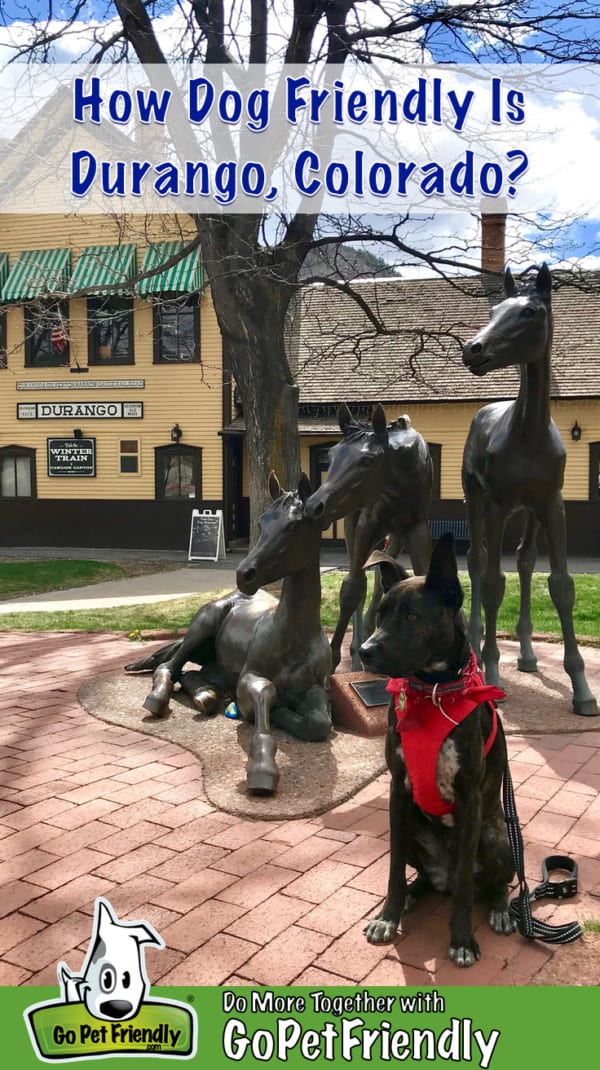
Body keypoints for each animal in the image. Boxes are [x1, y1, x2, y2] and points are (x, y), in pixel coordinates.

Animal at [357, 535, 513, 971]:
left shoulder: (469, 797)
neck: (433, 692)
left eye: (412, 617)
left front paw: (461, 940)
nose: (364, 651)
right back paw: (414, 894)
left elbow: (463, 889)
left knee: (491, 884)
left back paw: (500, 909)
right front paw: (388, 915)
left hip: (497, 839)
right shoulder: (398, 791)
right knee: (424, 876)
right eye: (379, 614)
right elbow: (393, 868)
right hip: (412, 828)